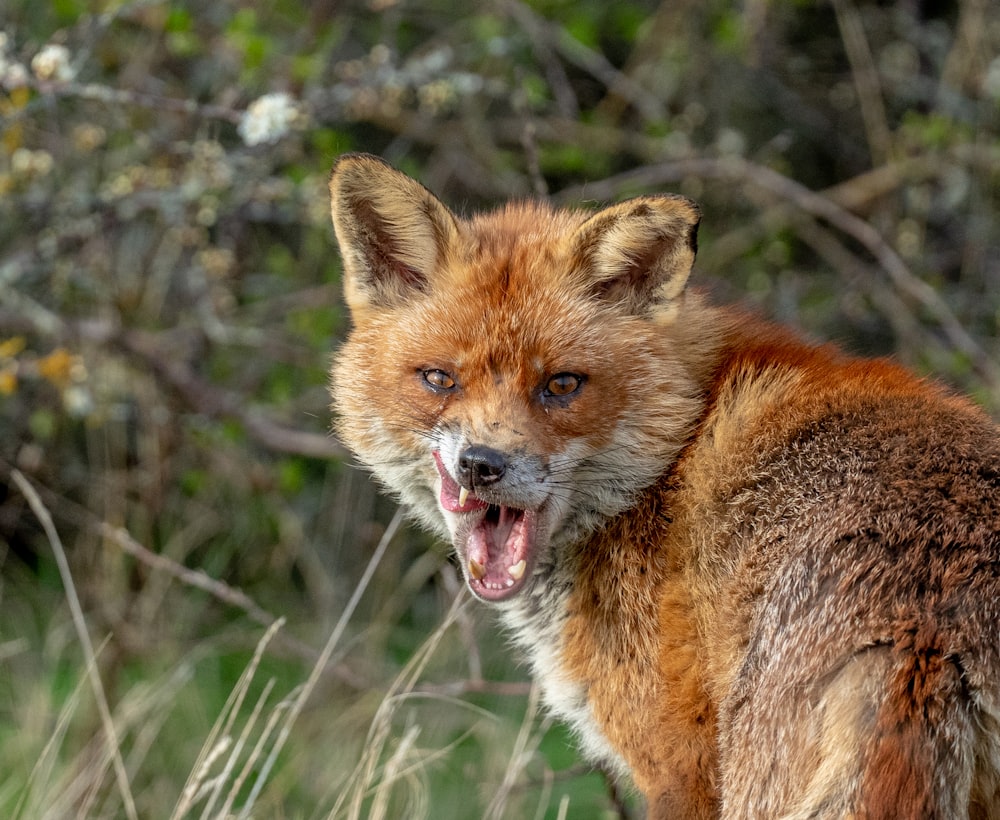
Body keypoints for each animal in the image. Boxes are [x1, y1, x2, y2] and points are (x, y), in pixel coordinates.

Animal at [328, 152, 1000, 812]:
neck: (667, 460)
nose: (480, 463)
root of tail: (925, 621)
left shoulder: (680, 767)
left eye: (562, 385)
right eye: (439, 379)